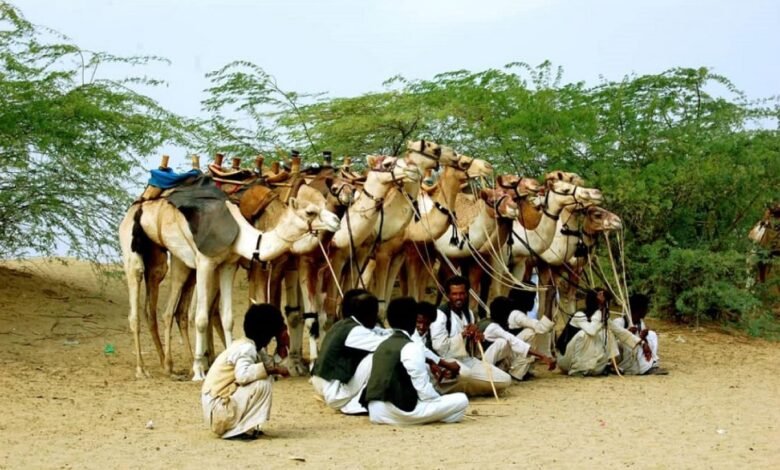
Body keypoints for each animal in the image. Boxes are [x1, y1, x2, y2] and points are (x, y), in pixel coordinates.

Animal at [120, 182, 340, 380]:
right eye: (310, 212)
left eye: (324, 204)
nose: (337, 220)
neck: (241, 234)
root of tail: (139, 204)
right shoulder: (205, 262)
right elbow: (201, 318)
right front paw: (199, 372)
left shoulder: (228, 266)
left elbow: (228, 318)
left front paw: (227, 363)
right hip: (134, 250)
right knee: (137, 306)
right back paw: (143, 369)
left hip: (175, 261)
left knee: (168, 310)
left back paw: (169, 366)